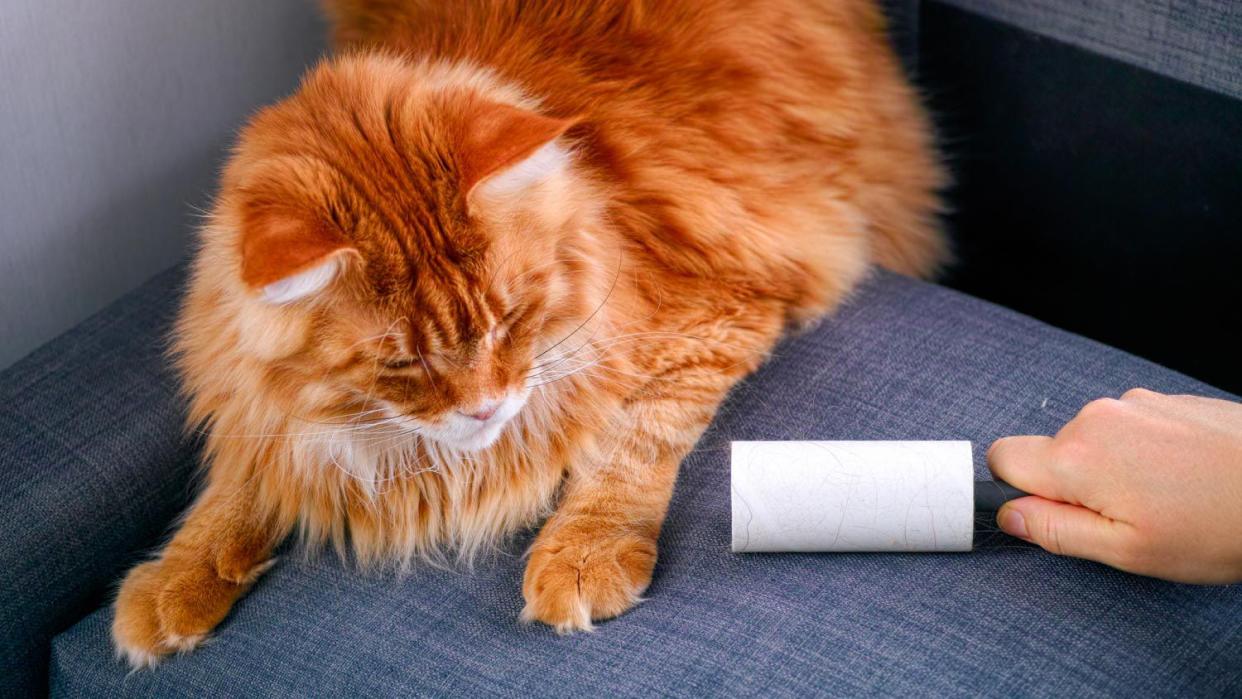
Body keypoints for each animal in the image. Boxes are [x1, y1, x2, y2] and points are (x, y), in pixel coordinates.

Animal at [111, 0, 938, 665]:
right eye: (402, 363)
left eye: (509, 318)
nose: (486, 406)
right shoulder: (261, 399)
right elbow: (245, 473)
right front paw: (176, 578)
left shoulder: (712, 312)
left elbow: (631, 441)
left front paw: (584, 554)